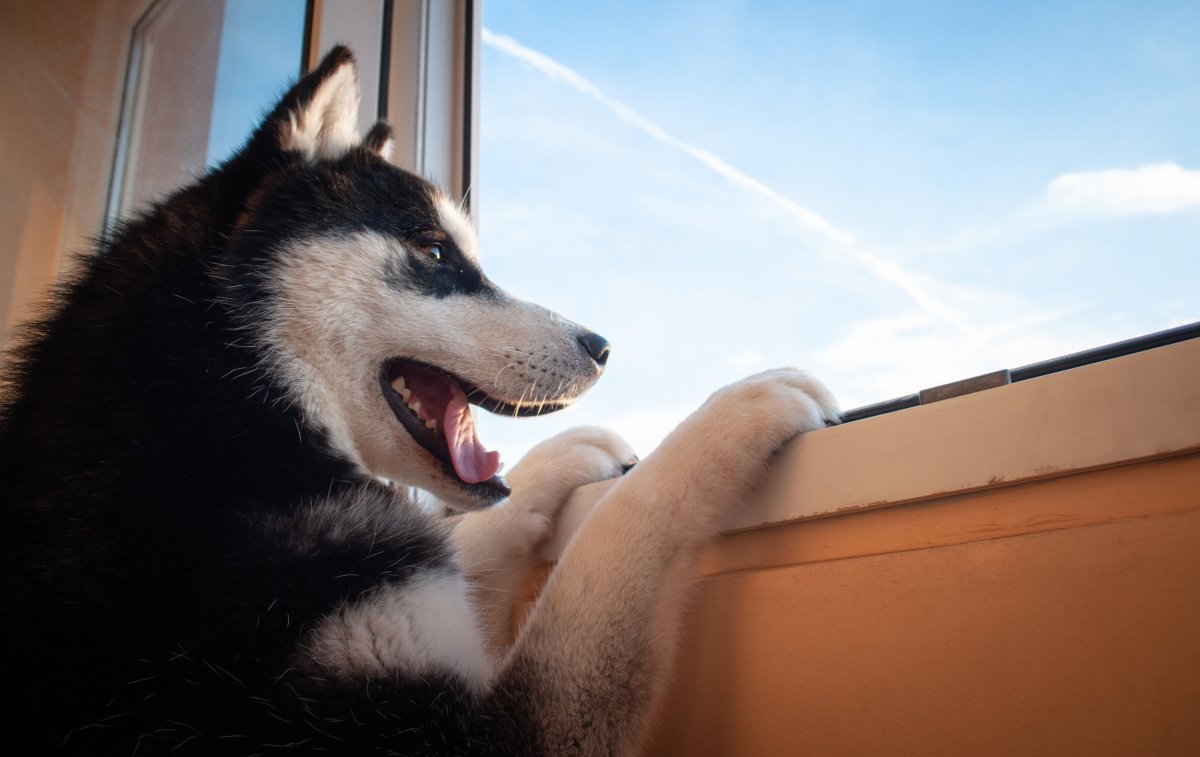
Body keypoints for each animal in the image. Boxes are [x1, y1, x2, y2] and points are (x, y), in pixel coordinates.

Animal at [0, 48, 840, 757]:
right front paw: (731, 412)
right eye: (435, 251)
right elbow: (612, 543)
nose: (602, 347)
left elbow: (471, 539)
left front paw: (557, 463)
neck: (216, 422)